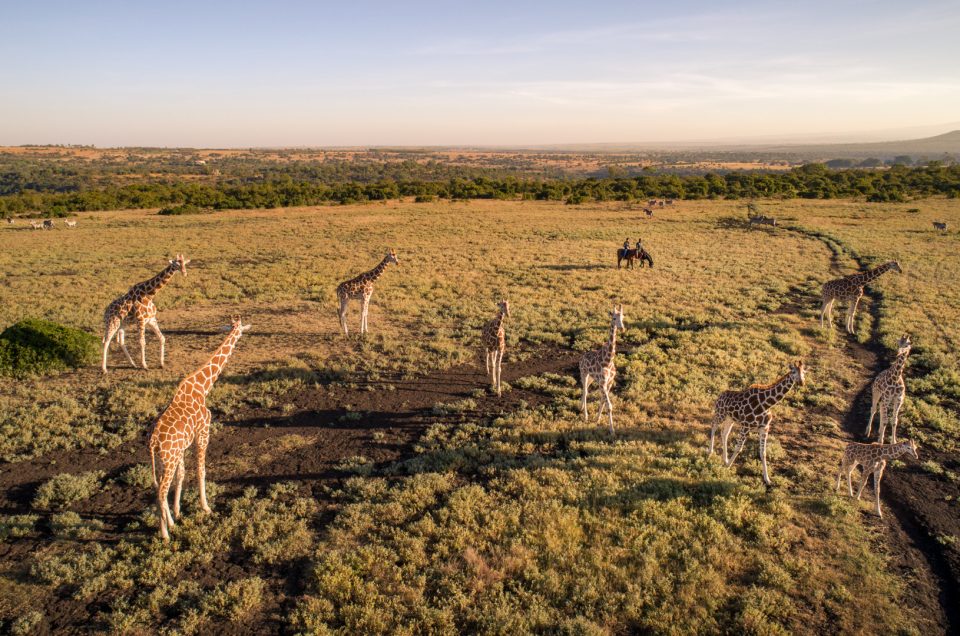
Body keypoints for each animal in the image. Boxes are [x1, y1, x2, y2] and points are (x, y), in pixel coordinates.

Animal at [147, 316, 249, 540]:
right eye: (238, 329)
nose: (240, 333)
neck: (203, 387)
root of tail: (152, 443)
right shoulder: (203, 433)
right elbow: (201, 470)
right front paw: (206, 507)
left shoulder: (183, 446)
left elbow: (182, 475)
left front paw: (177, 513)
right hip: (169, 458)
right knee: (161, 491)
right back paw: (165, 535)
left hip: (164, 460)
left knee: (159, 487)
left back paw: (170, 524)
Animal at [580, 304, 628, 434]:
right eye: (614, 318)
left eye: (623, 317)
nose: (622, 328)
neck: (608, 361)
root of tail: (582, 357)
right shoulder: (602, 382)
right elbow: (609, 406)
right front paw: (612, 430)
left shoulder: (609, 382)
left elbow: (603, 400)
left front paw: (597, 419)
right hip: (584, 373)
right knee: (585, 391)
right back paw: (585, 416)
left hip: (592, 378)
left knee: (585, 389)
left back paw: (581, 407)